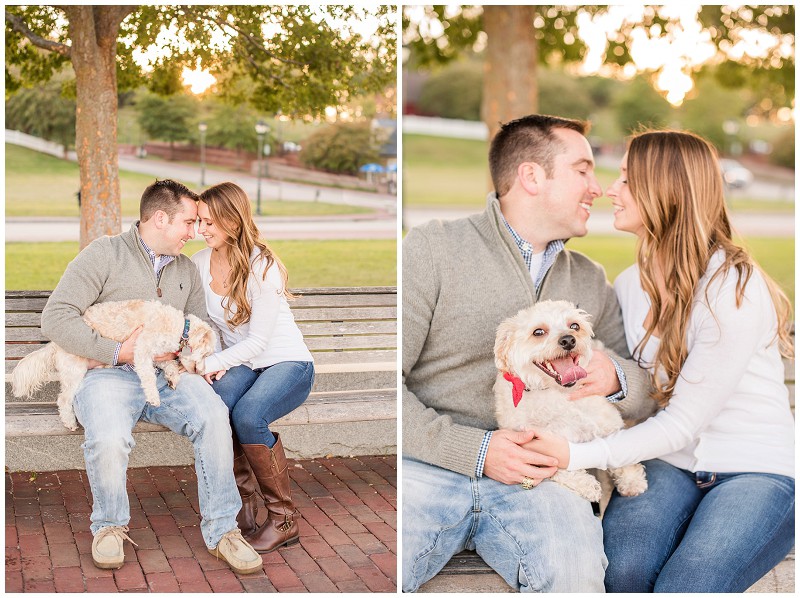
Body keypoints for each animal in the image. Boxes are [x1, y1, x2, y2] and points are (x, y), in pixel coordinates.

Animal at [13, 302, 219, 434]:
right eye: (206, 354)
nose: (202, 372)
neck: (180, 329)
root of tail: (55, 343)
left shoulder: (159, 355)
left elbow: (169, 364)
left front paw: (172, 377)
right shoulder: (142, 349)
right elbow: (148, 376)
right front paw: (153, 396)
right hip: (74, 370)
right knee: (63, 399)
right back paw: (70, 422)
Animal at [490, 298, 648, 502]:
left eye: (574, 326)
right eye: (538, 332)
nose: (568, 340)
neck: (557, 394)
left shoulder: (608, 423)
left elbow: (621, 451)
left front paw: (632, 481)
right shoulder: (537, 450)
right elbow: (561, 468)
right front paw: (587, 485)